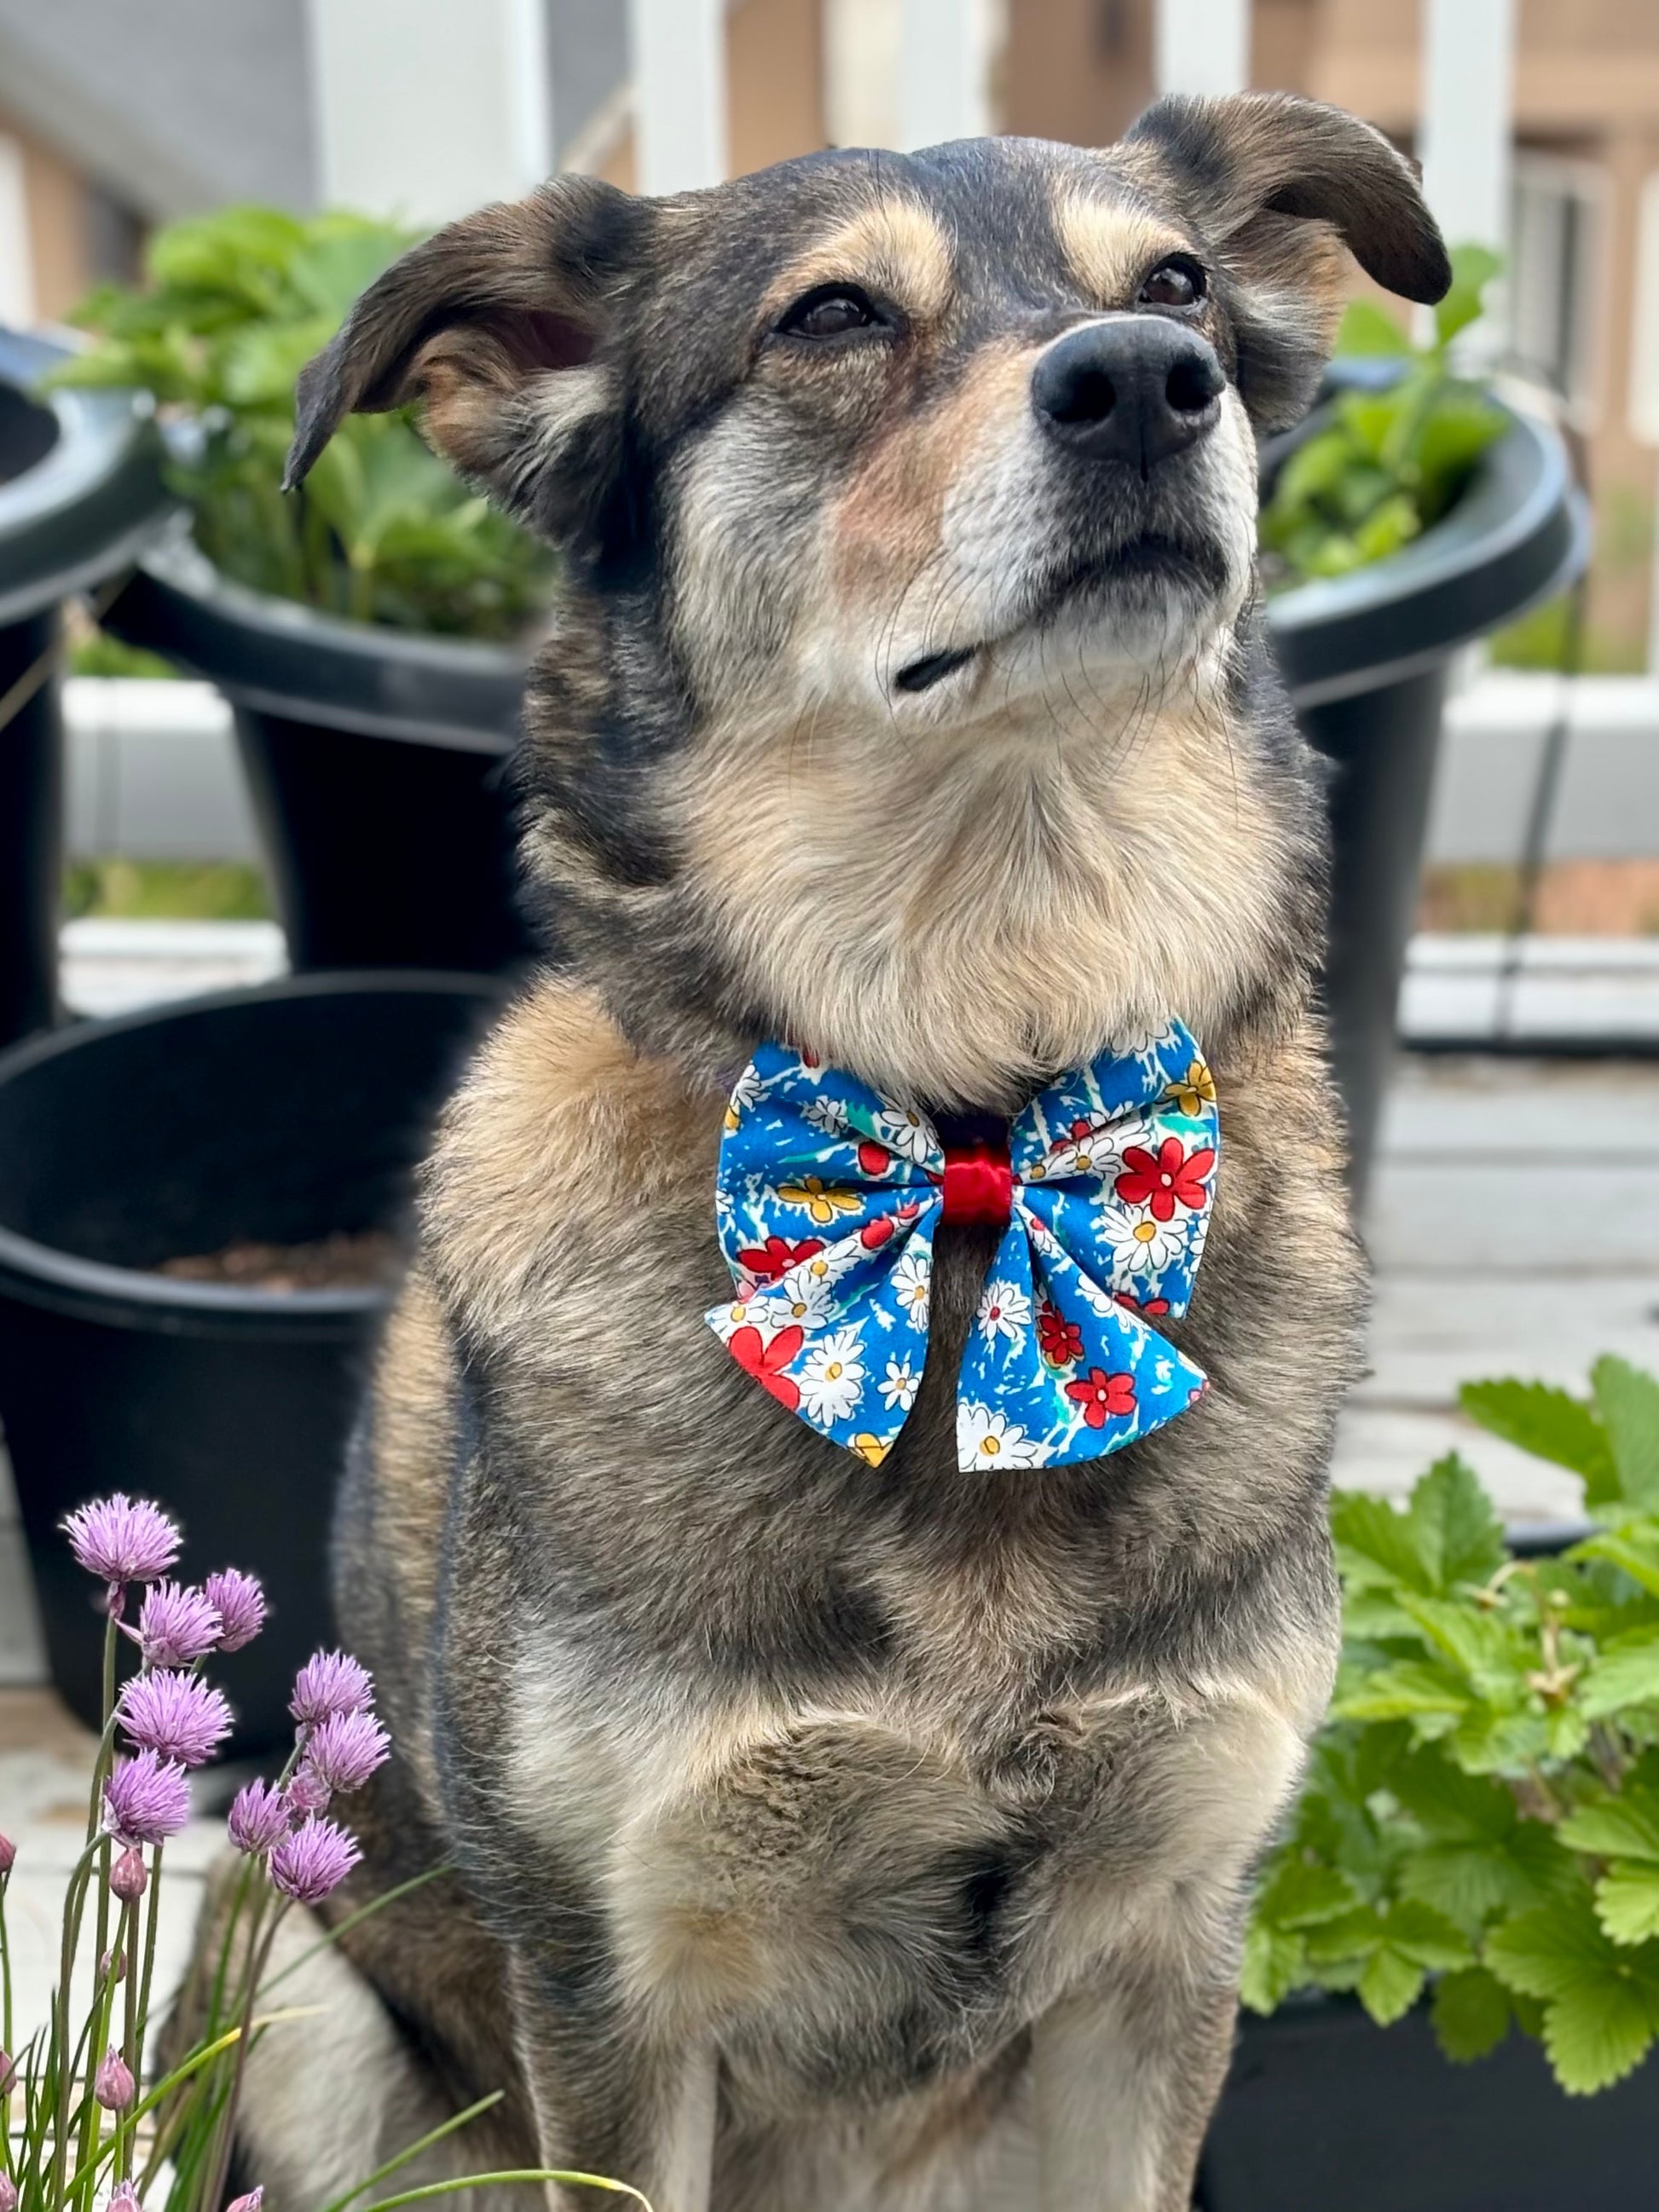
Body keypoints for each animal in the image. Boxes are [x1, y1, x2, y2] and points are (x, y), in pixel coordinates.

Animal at [228, 86, 1451, 2212]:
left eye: (1177, 284)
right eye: (830, 317)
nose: (1147, 384)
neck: (969, 1131)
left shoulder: (1162, 1954)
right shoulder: (620, 1995)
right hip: (295, 1982)